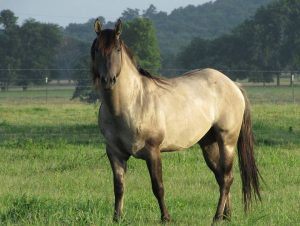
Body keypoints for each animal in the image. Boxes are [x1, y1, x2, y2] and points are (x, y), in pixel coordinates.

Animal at [91, 19, 260, 224]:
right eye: (97, 49)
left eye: (117, 49)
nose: (108, 80)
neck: (131, 103)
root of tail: (233, 84)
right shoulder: (115, 153)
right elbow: (118, 187)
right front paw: (117, 218)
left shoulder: (153, 152)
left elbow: (158, 187)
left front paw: (166, 218)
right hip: (208, 143)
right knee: (222, 177)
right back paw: (227, 216)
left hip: (226, 141)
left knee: (227, 178)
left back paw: (217, 217)